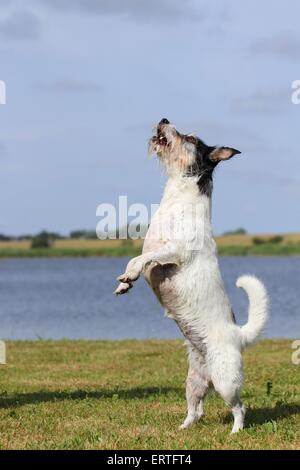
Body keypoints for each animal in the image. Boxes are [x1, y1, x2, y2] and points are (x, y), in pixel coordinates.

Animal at [113, 118, 268, 434]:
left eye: (191, 138)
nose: (163, 119)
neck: (178, 198)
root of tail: (238, 335)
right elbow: (135, 257)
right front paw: (124, 284)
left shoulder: (175, 251)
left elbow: (140, 259)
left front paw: (131, 274)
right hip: (194, 381)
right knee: (196, 410)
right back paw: (182, 428)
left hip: (225, 380)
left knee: (240, 407)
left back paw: (235, 432)